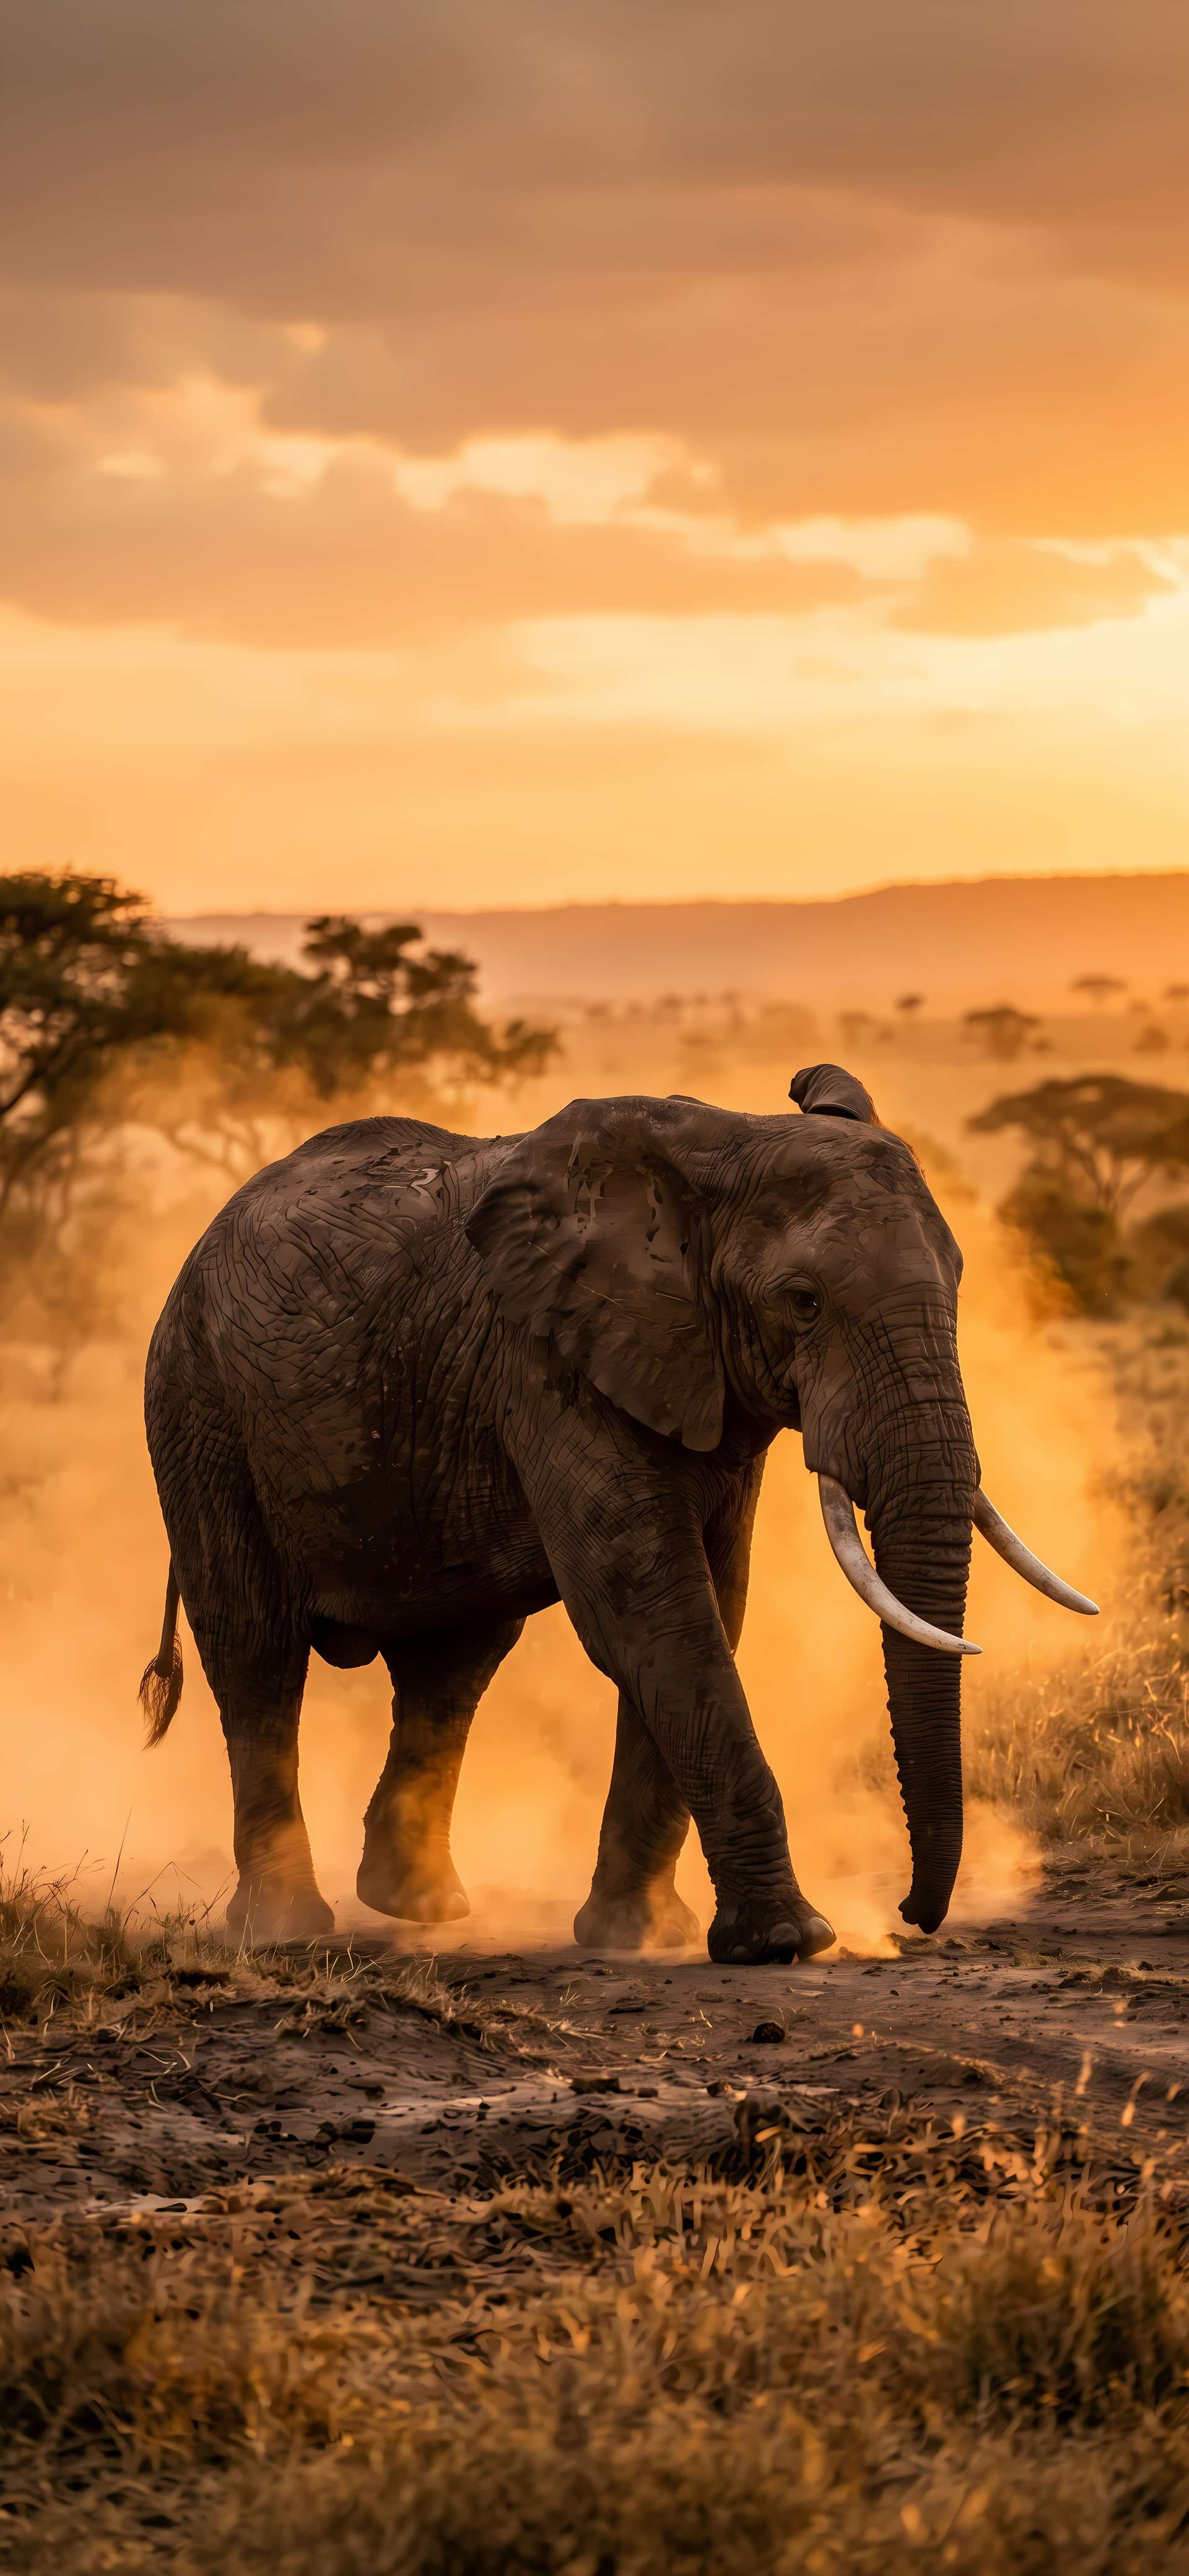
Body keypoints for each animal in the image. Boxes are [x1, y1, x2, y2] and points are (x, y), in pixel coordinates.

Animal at [138, 1063, 1096, 1962]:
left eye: (962, 1281)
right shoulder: (547, 1362)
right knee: (257, 1651)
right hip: (198, 1404)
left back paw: (420, 1906)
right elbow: (653, 1615)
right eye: (804, 1301)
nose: (910, 1912)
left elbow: (711, 1606)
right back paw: (283, 1928)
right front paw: (786, 1941)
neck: (719, 1150)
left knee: (454, 1663)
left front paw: (641, 1936)